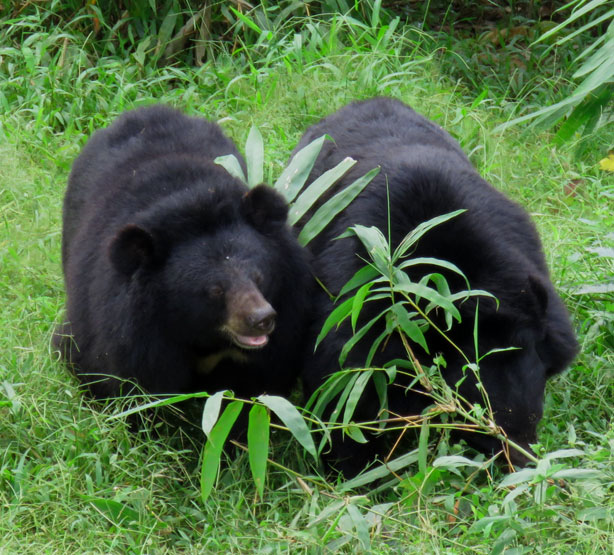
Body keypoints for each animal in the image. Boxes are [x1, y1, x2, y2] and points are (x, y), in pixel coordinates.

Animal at [296, 96, 580, 474]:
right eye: (477, 419)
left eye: (533, 418)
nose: (520, 459)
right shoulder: (357, 296)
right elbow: (343, 385)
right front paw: (357, 468)